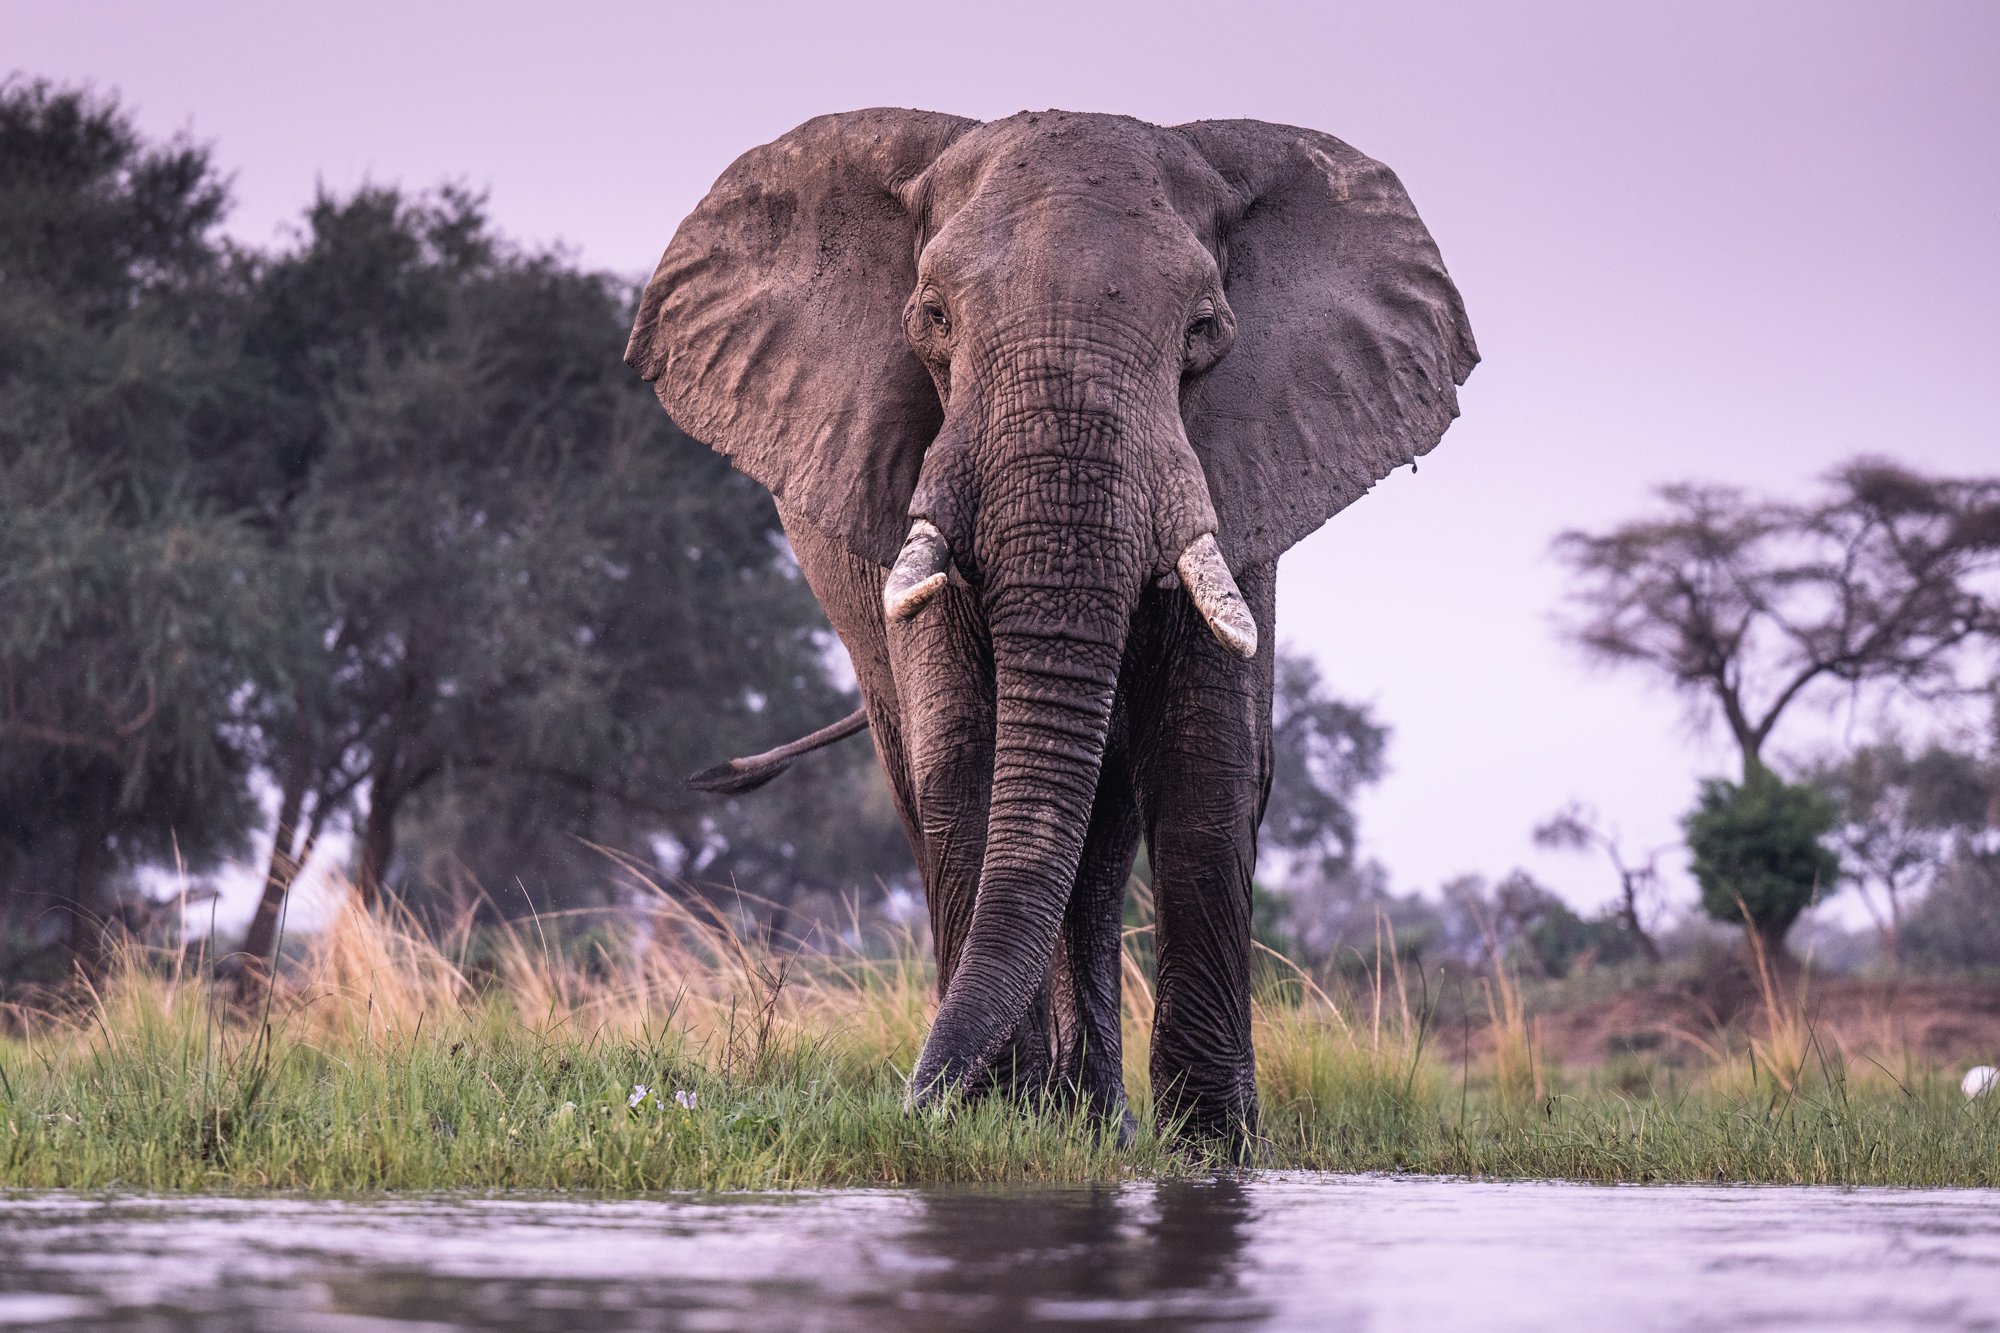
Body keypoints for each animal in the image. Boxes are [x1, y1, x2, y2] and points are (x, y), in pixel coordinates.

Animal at [627, 109, 1475, 1145]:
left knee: (1105, 829)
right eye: (934, 318)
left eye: (1203, 330)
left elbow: (1207, 759)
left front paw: (1214, 1142)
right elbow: (965, 750)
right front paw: (995, 1107)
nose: (911, 1100)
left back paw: (1098, 1117)